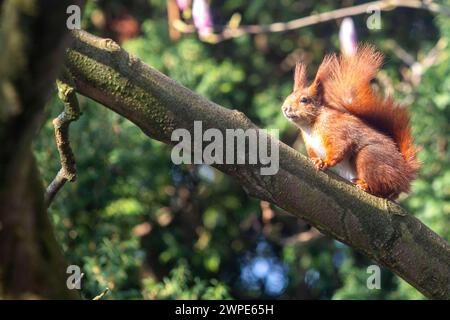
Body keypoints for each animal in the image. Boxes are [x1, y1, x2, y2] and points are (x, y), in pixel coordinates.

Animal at [284, 45, 420, 199]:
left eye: (304, 100)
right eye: (288, 96)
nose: (285, 108)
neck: (310, 126)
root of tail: (404, 175)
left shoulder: (336, 130)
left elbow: (340, 147)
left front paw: (325, 162)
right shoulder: (310, 145)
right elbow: (314, 154)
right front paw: (317, 160)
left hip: (368, 157)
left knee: (383, 187)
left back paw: (365, 185)